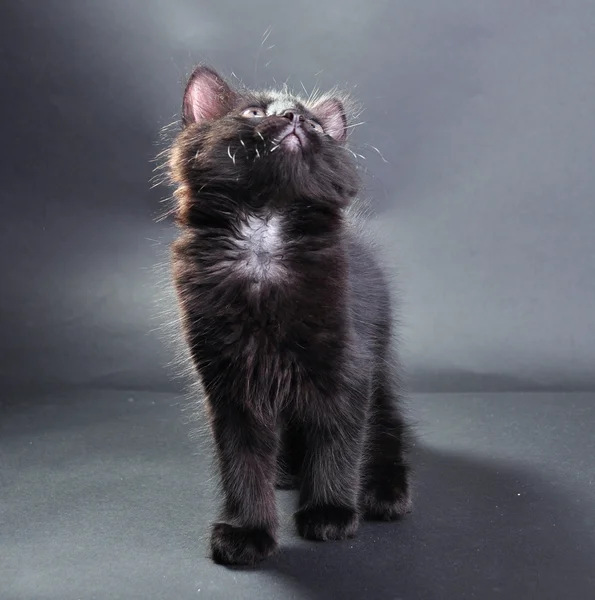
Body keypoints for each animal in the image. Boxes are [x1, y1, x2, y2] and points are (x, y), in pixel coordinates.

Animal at [165, 67, 412, 568]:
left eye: (316, 125)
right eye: (254, 112)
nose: (295, 118)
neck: (264, 232)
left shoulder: (346, 369)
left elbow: (338, 440)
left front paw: (330, 512)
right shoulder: (229, 381)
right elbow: (241, 461)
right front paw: (248, 531)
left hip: (377, 365)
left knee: (387, 423)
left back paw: (383, 490)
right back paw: (285, 472)